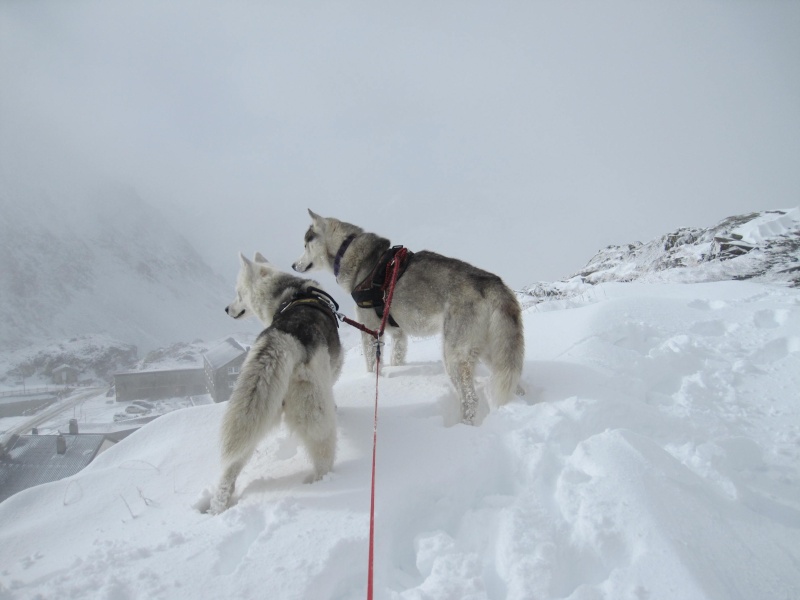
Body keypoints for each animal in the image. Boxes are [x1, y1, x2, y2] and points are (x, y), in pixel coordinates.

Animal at [208, 253, 342, 516]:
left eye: (238, 293)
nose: (227, 309)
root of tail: (285, 335)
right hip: (314, 416)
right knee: (323, 453)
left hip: (253, 412)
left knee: (233, 463)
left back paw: (218, 505)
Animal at [294, 211, 524, 426]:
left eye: (305, 245)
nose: (294, 265)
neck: (347, 250)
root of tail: (493, 283)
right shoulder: (398, 333)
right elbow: (397, 357)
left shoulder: (370, 329)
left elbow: (371, 364)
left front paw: (371, 379)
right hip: (493, 352)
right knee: (513, 382)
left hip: (454, 356)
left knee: (470, 399)